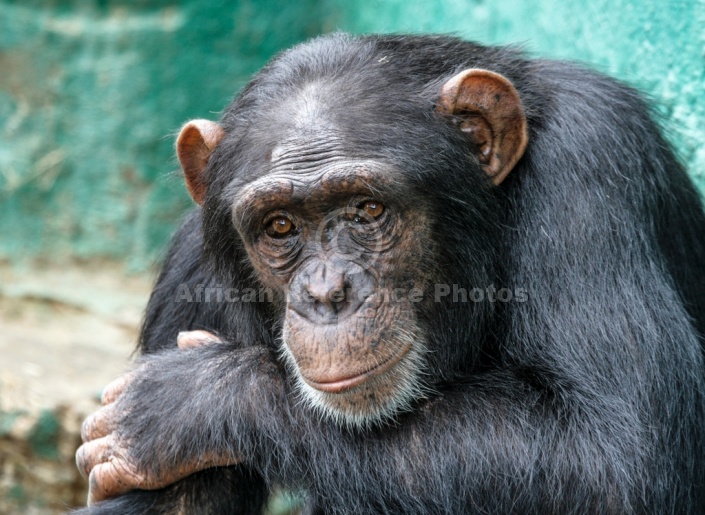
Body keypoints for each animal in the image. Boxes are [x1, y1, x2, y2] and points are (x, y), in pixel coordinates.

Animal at [74, 34, 704, 512]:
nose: (326, 292)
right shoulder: (192, 267)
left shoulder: (591, 161)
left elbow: (614, 458)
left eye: (368, 209)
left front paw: (194, 399)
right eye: (280, 226)